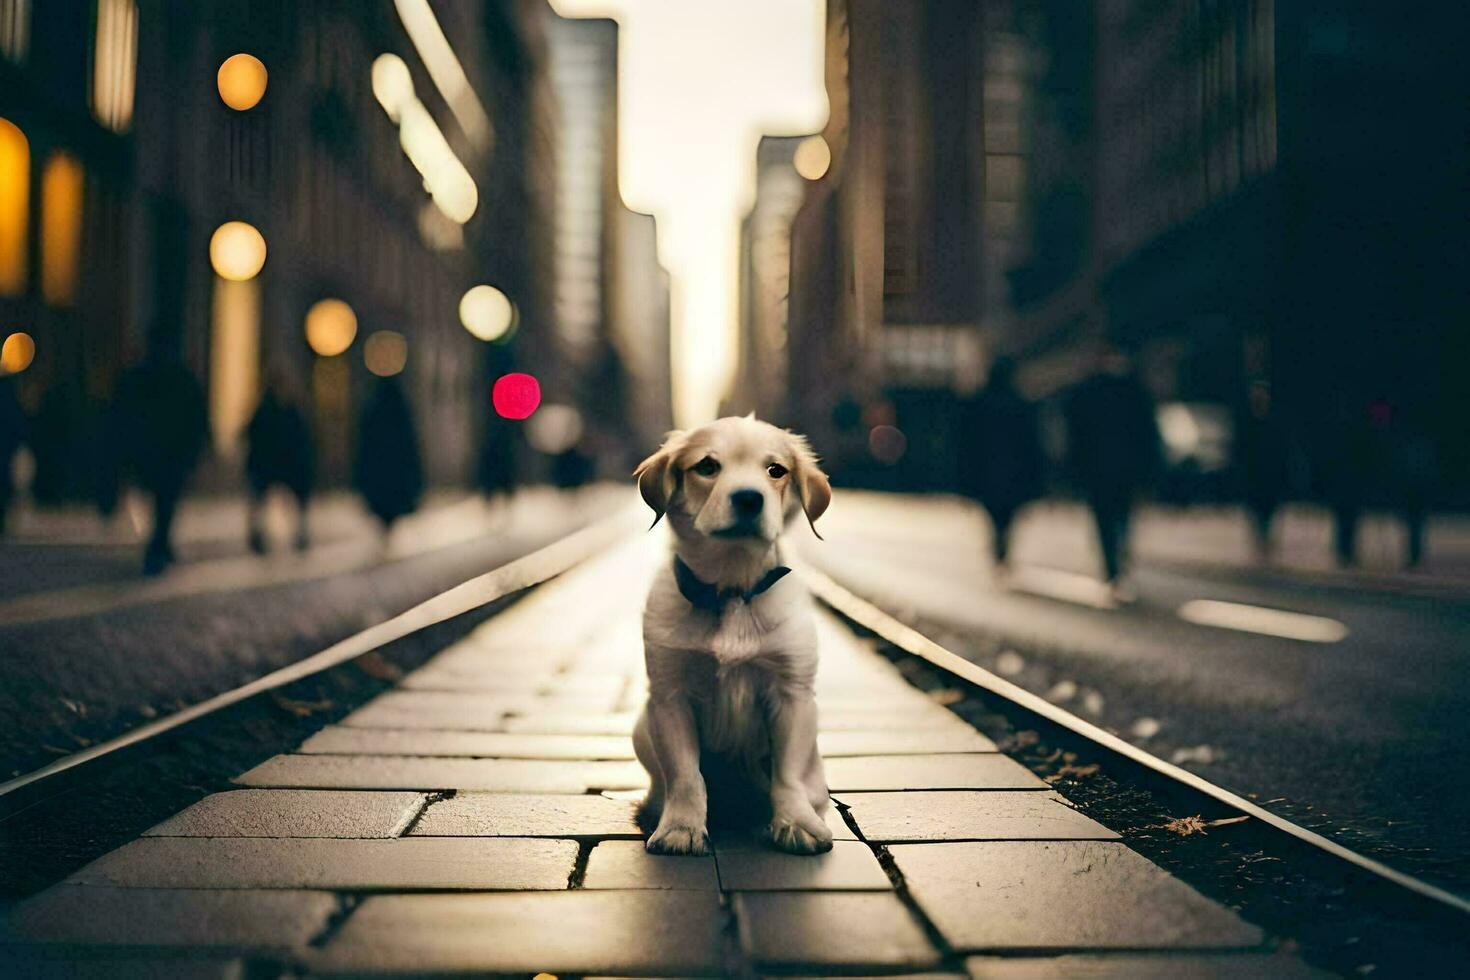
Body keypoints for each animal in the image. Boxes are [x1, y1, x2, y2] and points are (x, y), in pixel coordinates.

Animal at [632, 417, 840, 852]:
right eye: (707, 466)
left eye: (776, 470)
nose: (748, 499)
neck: (730, 590)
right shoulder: (669, 696)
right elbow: (685, 774)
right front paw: (681, 828)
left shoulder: (792, 695)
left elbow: (786, 774)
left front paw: (795, 823)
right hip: (642, 725)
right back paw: (654, 809)